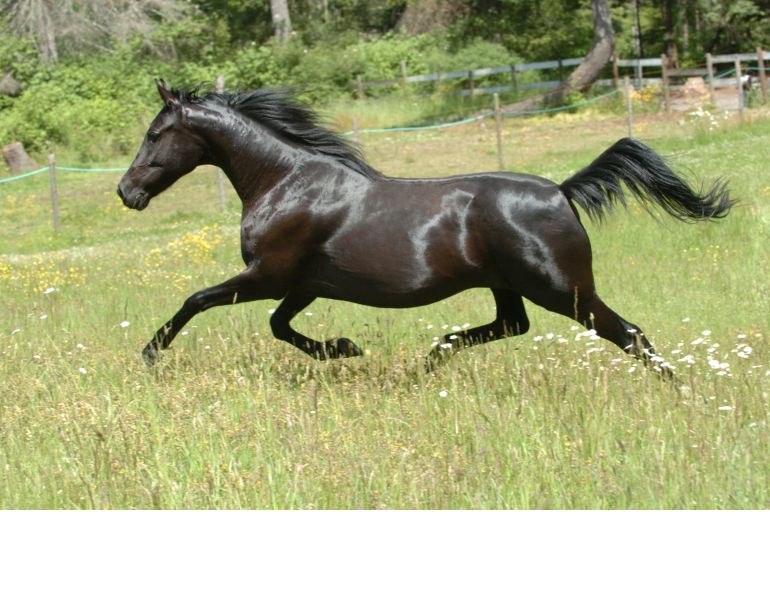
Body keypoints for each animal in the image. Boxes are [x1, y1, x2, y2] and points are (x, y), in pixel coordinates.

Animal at [117, 80, 732, 374]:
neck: (286, 181)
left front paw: (149, 356)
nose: (126, 192)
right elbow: (279, 326)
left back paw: (680, 391)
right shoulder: (305, 283)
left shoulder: (267, 274)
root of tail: (561, 190)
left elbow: (197, 300)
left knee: (629, 334)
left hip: (562, 289)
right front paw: (344, 349)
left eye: (154, 134)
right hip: (509, 286)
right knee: (511, 327)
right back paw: (435, 354)